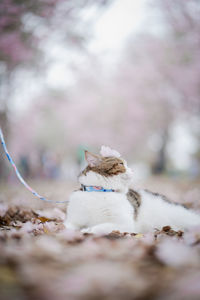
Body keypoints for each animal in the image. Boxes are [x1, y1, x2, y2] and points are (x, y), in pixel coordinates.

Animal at [64, 145, 200, 234]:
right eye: (121, 164)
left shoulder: (123, 224)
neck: (99, 192)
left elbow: (101, 227)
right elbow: (66, 226)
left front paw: (88, 230)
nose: (133, 170)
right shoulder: (72, 221)